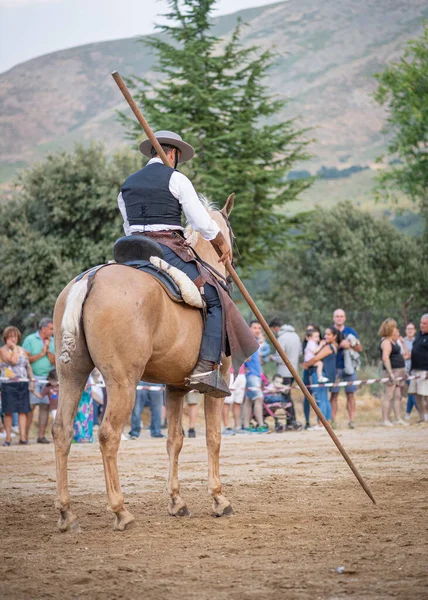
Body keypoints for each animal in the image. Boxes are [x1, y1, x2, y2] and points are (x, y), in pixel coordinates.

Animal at [51, 195, 236, 532]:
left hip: (71, 374)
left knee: (62, 431)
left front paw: (177, 501)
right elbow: (213, 438)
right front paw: (218, 498)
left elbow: (174, 440)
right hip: (122, 383)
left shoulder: (175, 386)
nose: (229, 267)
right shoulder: (218, 384)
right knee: (108, 435)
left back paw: (67, 513)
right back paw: (120, 511)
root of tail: (90, 279)